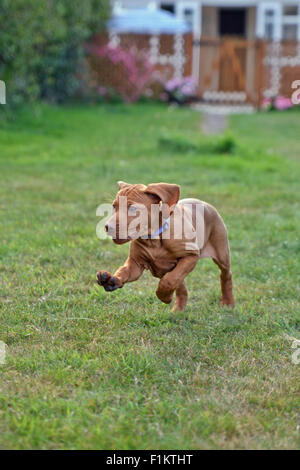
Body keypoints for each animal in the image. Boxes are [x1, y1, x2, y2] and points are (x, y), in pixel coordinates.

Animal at [96, 182, 234, 310]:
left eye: (133, 209)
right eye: (114, 206)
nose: (107, 227)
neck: (154, 240)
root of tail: (205, 203)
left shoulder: (191, 256)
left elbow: (169, 281)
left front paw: (164, 297)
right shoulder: (136, 264)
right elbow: (124, 271)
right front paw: (111, 280)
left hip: (222, 254)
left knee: (225, 275)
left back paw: (228, 302)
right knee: (181, 287)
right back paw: (178, 310)